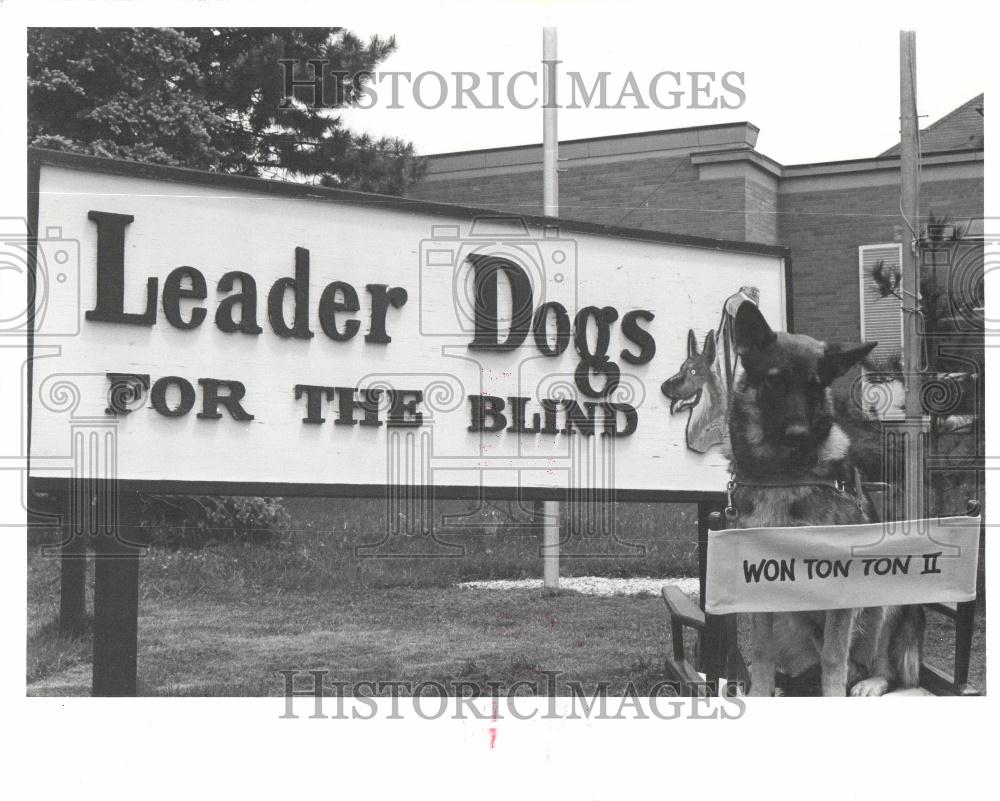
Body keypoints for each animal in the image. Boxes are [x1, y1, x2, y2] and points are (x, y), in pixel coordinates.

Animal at [728, 300, 920, 692]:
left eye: (814, 388)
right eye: (775, 380)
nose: (798, 434)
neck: (782, 474)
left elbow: (834, 658)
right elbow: (761, 652)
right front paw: (760, 691)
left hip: (886, 602)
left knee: (877, 666)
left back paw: (870, 682)